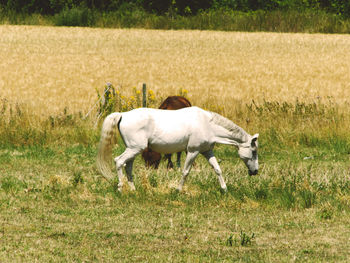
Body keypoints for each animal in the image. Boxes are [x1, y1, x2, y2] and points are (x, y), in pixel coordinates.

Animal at [97, 106, 258, 193]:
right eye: (254, 151)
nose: (255, 171)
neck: (207, 124)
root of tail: (122, 114)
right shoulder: (193, 151)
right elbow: (185, 171)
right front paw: (178, 190)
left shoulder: (207, 151)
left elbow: (217, 169)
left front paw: (224, 189)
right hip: (134, 148)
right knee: (119, 161)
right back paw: (120, 188)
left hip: (133, 149)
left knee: (128, 166)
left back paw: (132, 189)